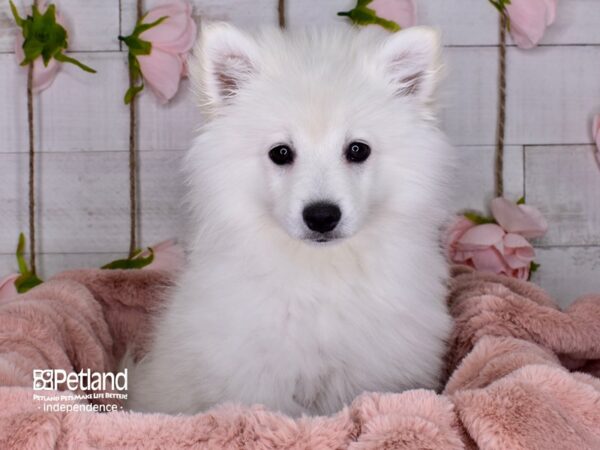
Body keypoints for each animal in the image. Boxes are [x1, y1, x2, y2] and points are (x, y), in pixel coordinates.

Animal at [127, 22, 454, 416]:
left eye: (357, 149)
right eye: (281, 153)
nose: (322, 216)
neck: (321, 272)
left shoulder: (369, 371)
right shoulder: (261, 377)